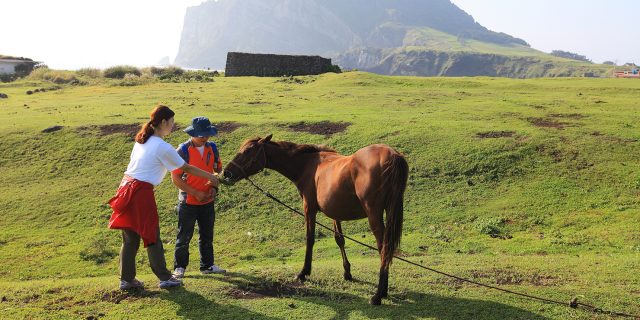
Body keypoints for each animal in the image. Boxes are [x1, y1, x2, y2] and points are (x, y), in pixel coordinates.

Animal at [222, 135, 408, 304]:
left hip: (374, 215)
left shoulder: (309, 208)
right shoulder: (334, 212)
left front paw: (304, 272)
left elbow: (310, 239)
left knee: (384, 247)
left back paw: (379, 294)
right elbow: (339, 239)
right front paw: (347, 272)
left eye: (247, 151)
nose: (226, 172)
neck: (307, 165)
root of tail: (392, 155)